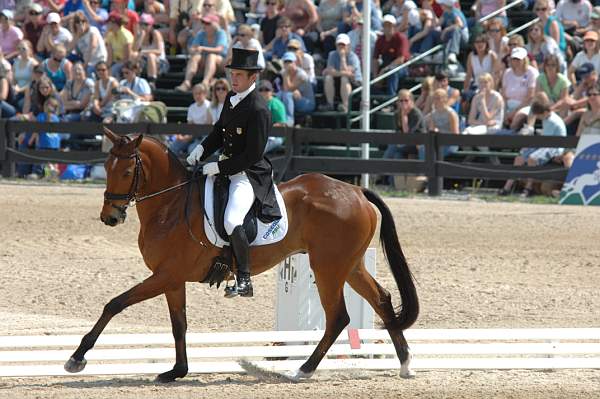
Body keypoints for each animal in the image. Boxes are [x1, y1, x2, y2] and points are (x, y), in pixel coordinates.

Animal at [63, 130, 420, 382]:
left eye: (126, 172)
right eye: (106, 167)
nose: (110, 217)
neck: (171, 206)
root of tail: (356, 191)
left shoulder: (165, 275)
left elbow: (115, 304)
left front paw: (77, 358)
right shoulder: (172, 279)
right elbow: (179, 324)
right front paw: (177, 371)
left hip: (328, 269)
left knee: (338, 317)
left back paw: (302, 370)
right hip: (350, 265)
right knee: (382, 299)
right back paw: (405, 365)